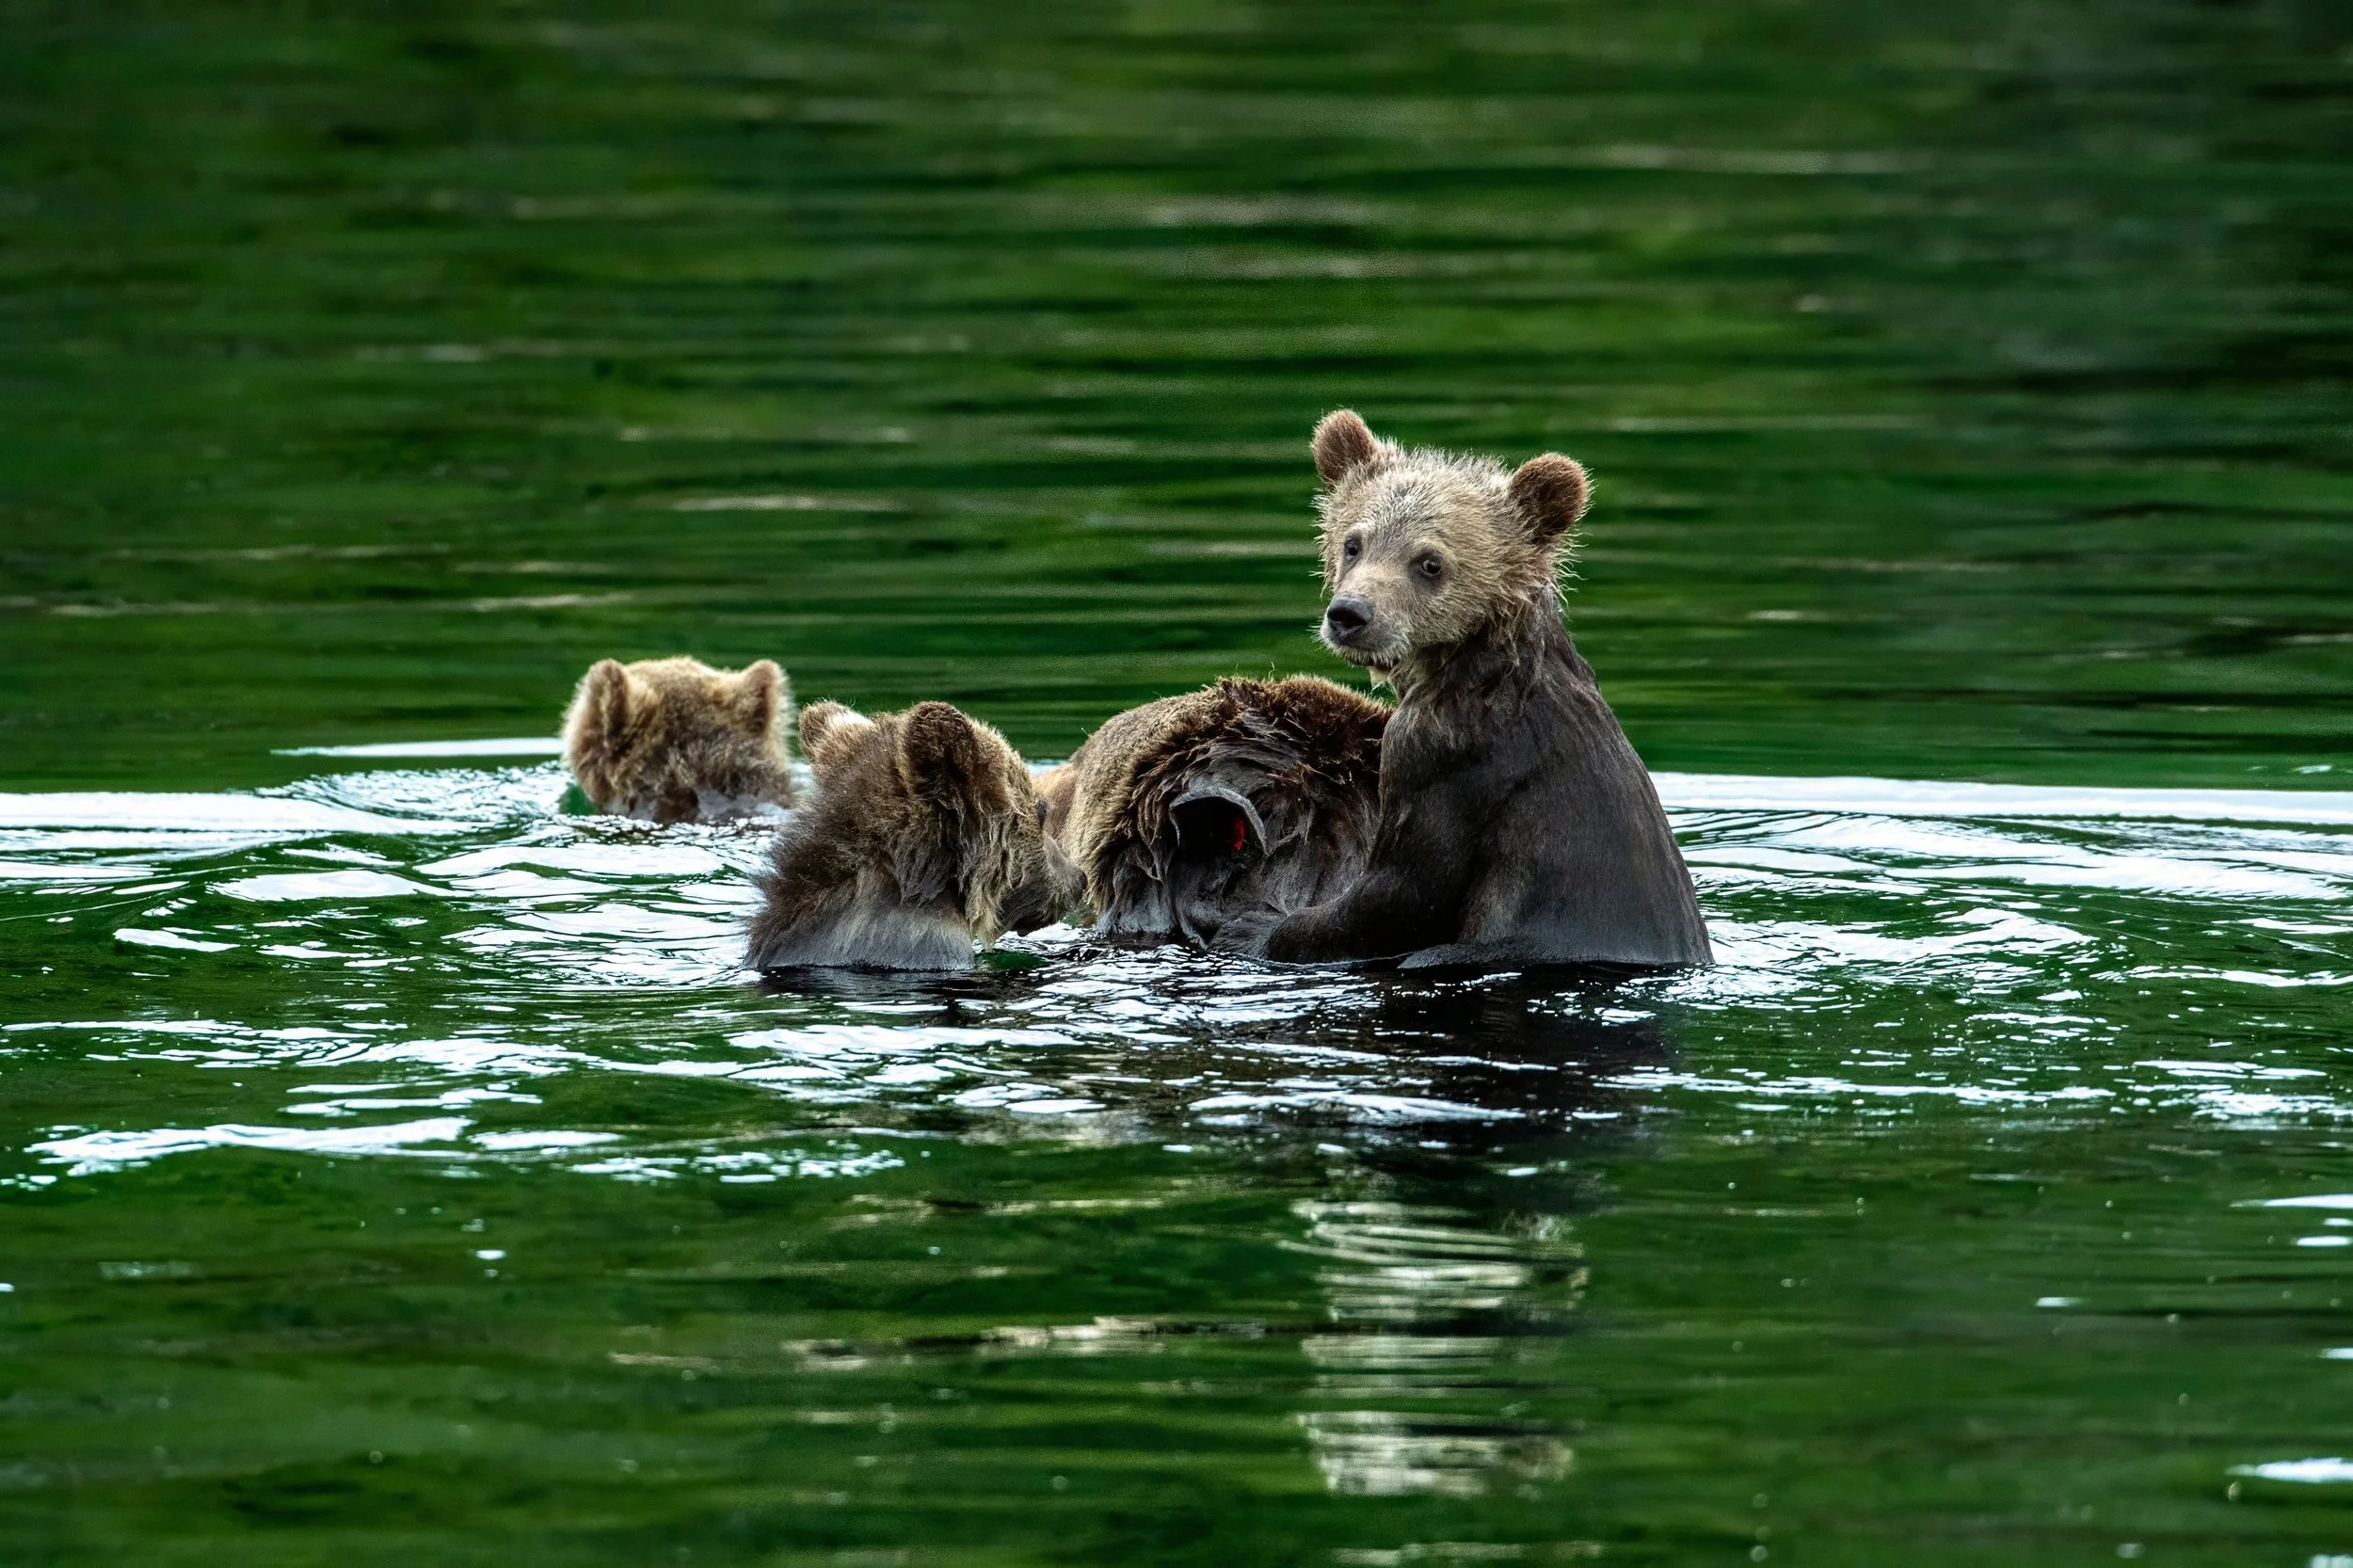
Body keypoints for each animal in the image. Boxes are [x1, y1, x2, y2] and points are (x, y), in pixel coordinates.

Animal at [1258, 410, 1710, 969]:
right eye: (1353, 542)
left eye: (1430, 562)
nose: (1350, 614)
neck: (1468, 668)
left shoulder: (1448, 760)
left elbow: (1402, 891)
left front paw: (1278, 927)